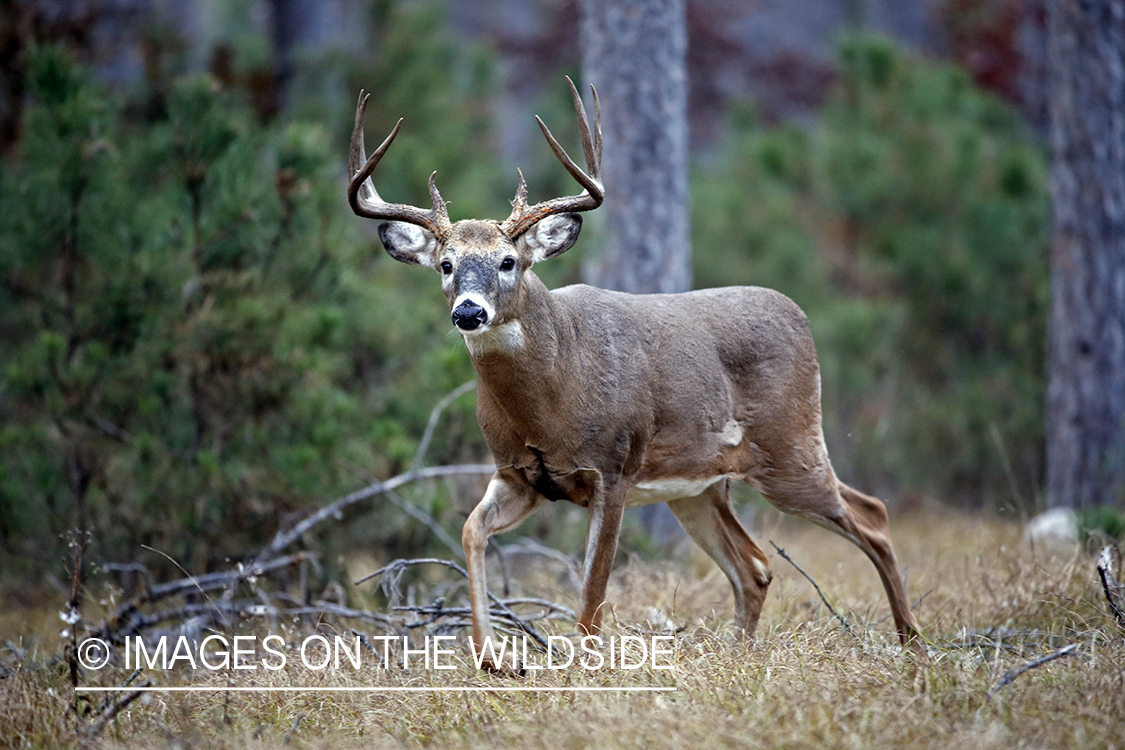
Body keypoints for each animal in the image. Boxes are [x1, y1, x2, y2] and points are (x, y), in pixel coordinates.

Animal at [348, 77, 922, 670]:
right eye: (446, 264)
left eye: (508, 261)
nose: (468, 311)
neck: (552, 398)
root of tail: (799, 314)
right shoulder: (518, 475)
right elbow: (470, 531)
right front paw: (492, 659)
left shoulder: (613, 467)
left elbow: (592, 591)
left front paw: (581, 667)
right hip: (699, 487)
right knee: (757, 566)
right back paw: (741, 656)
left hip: (791, 447)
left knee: (873, 516)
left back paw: (912, 642)